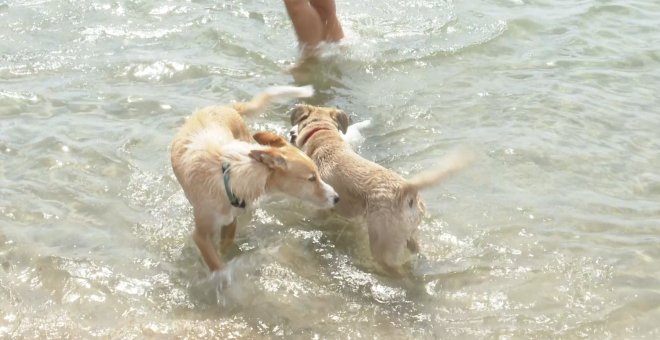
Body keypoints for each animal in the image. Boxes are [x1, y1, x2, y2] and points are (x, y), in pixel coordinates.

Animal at [170, 87, 338, 274]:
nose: (337, 198)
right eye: (311, 178)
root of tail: (227, 107)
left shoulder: (233, 215)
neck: (232, 174)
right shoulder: (200, 235)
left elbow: (228, 235)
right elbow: (217, 266)